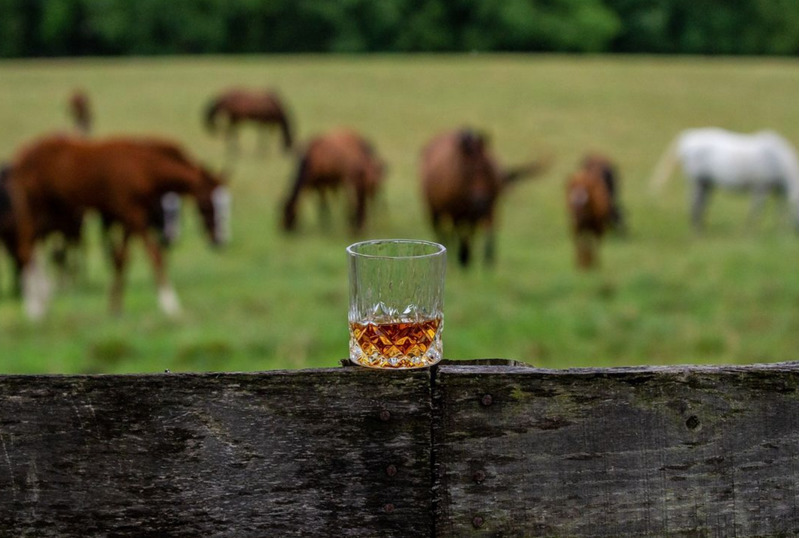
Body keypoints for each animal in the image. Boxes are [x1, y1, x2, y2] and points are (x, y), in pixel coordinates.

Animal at [6, 135, 230, 318]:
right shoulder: (135, 216)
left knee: (34, 252)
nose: (221, 241)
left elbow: (121, 259)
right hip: (33, 207)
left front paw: (115, 307)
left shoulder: (129, 219)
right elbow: (154, 255)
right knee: (26, 251)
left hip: (49, 213)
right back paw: (34, 309)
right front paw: (170, 305)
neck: (143, 167)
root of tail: (21, 154)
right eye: (209, 205)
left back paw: (43, 302)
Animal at [418, 127, 552, 266]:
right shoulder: (458, 211)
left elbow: (479, 231)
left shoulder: (486, 210)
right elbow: (461, 231)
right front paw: (464, 256)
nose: (481, 200)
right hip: (433, 210)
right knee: (441, 230)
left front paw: (478, 258)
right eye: (467, 173)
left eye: (490, 171)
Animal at [648, 130, 800, 232]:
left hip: (706, 184)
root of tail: (688, 139)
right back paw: (696, 233)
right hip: (697, 182)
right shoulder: (760, 188)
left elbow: (779, 210)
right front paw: (750, 232)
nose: (795, 232)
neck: (777, 160)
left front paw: (779, 230)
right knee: (695, 206)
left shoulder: (777, 191)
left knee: (701, 205)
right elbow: (756, 212)